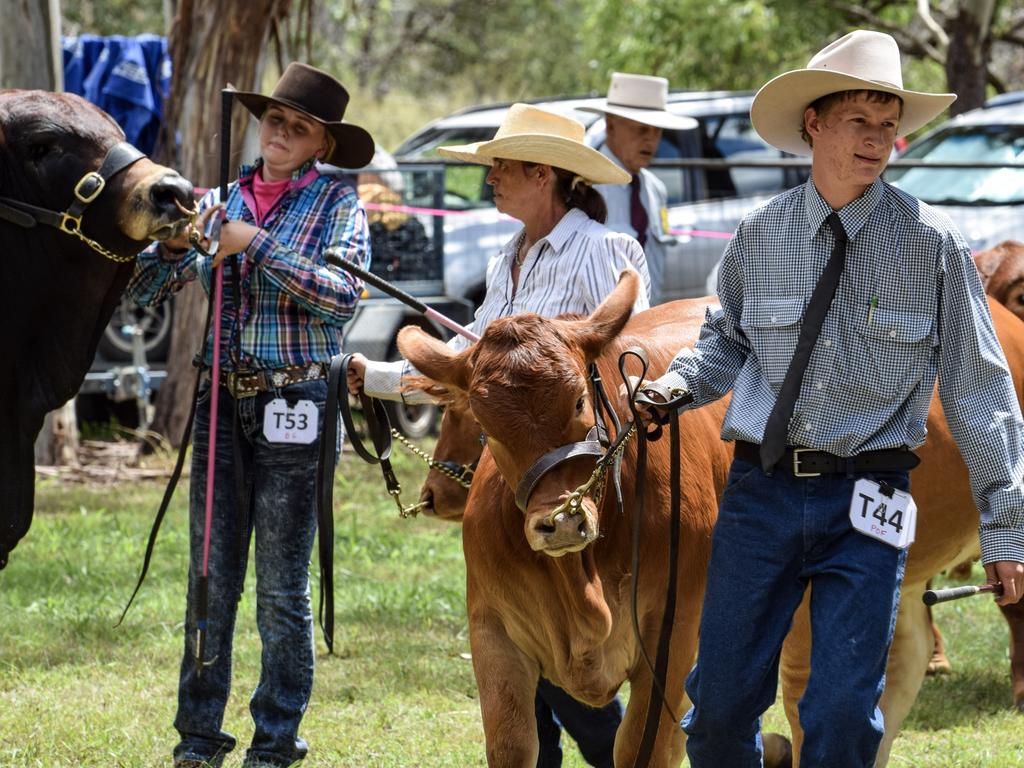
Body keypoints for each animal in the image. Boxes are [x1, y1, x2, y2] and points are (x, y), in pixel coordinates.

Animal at [397, 276, 790, 768]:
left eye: (579, 399)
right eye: (486, 423)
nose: (561, 522)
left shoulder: (674, 633)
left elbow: (644, 746)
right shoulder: (492, 629)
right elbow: (512, 745)